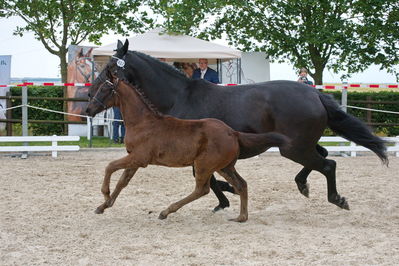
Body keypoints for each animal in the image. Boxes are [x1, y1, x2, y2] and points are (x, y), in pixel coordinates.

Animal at [86, 74, 288, 220]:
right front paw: (103, 206)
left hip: (204, 165)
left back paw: (166, 211)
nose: (88, 109)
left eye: (104, 88)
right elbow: (122, 181)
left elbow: (110, 166)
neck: (143, 122)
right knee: (241, 184)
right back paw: (241, 217)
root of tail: (232, 132)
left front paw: (105, 195)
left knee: (202, 189)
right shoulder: (135, 159)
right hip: (224, 166)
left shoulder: (139, 158)